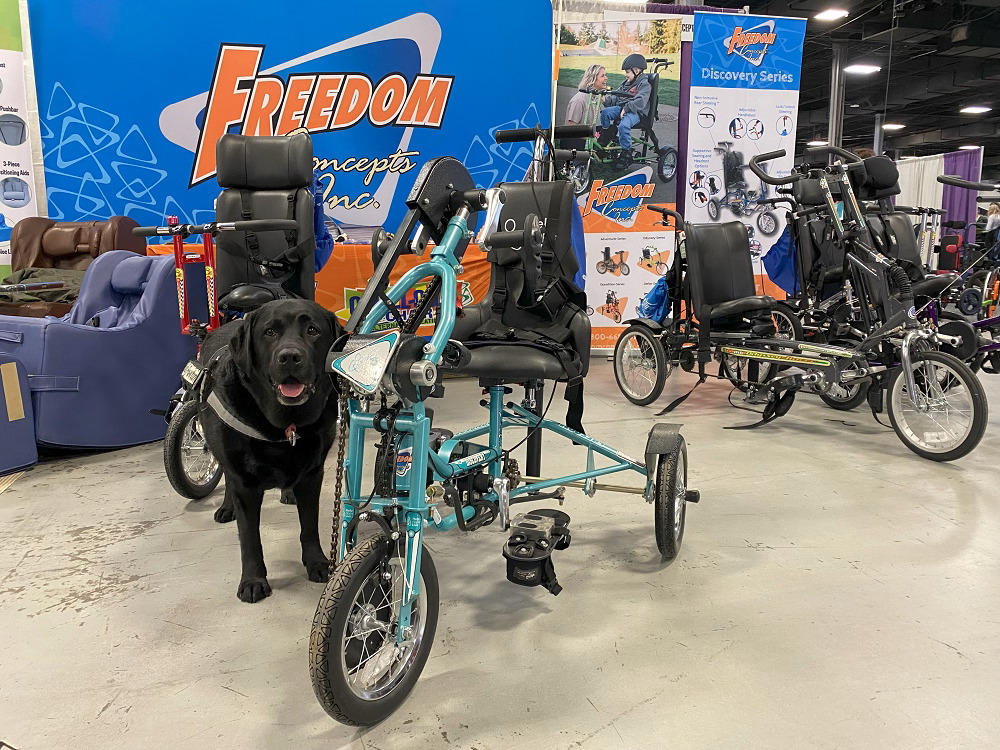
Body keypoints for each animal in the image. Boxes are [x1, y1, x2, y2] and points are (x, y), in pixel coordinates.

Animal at [197, 300, 346, 604]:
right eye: (269, 332)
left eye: (312, 330)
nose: (289, 357)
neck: (286, 425)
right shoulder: (244, 483)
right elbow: (250, 538)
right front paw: (253, 581)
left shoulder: (312, 474)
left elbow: (309, 525)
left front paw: (317, 563)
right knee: (226, 476)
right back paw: (226, 508)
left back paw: (288, 493)